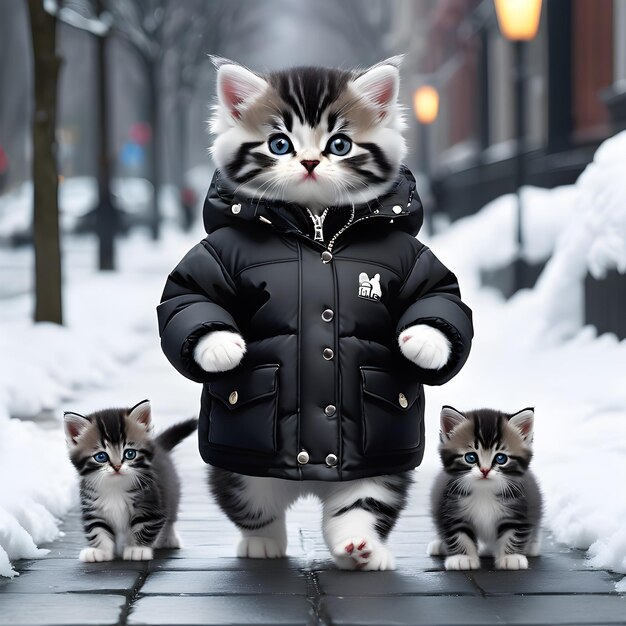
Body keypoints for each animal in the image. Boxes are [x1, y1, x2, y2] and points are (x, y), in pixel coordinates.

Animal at [62, 400, 195, 560]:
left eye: (130, 453)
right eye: (101, 456)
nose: (117, 467)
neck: (115, 486)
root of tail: (159, 445)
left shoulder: (152, 504)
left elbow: (145, 527)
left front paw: (137, 549)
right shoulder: (93, 508)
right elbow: (98, 529)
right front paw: (100, 551)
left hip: (172, 492)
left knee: (171, 518)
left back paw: (170, 539)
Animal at [426, 404, 540, 572]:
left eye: (501, 458)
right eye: (470, 457)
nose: (485, 470)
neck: (484, 491)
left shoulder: (519, 507)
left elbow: (514, 531)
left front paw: (511, 558)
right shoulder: (450, 507)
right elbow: (457, 532)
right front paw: (462, 558)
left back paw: (532, 547)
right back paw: (439, 546)